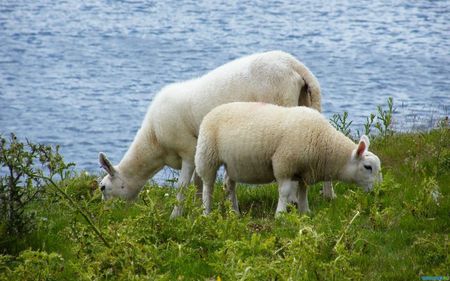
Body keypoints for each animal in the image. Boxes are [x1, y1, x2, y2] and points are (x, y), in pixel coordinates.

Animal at [98, 50, 324, 217]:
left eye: (102, 187)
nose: (107, 214)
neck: (154, 142)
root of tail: (295, 65)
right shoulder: (200, 151)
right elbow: (199, 182)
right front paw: (198, 207)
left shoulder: (188, 151)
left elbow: (182, 186)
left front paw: (175, 216)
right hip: (307, 102)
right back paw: (326, 196)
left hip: (285, 108)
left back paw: (294, 201)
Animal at [197, 101, 384, 215]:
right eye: (368, 167)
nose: (379, 192)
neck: (324, 143)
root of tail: (213, 111)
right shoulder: (284, 164)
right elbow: (286, 191)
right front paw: (280, 214)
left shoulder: (304, 171)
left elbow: (303, 191)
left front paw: (305, 211)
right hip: (207, 155)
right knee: (208, 186)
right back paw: (206, 212)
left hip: (233, 163)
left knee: (229, 185)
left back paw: (235, 212)